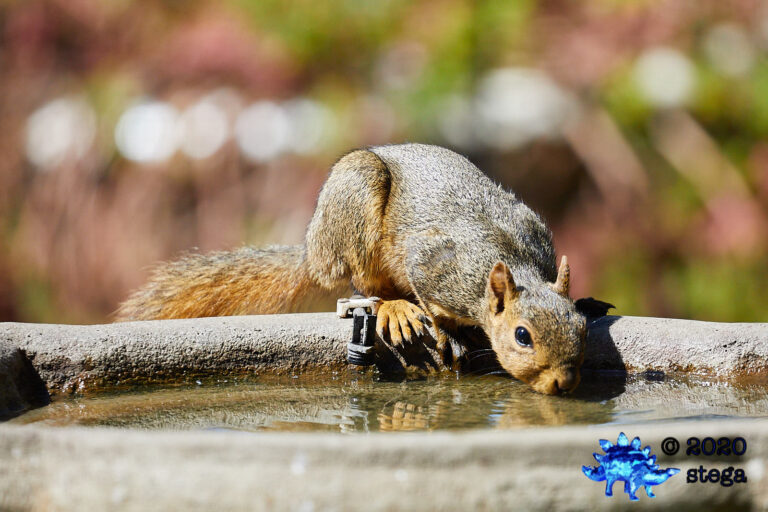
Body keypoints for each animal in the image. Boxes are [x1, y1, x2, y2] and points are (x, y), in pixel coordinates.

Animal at [116, 143, 612, 395]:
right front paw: (448, 333)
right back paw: (396, 309)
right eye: (522, 336)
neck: (517, 262)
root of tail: (313, 249)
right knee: (364, 283)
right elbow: (431, 298)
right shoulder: (435, 267)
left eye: (580, 331)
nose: (563, 383)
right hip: (356, 202)